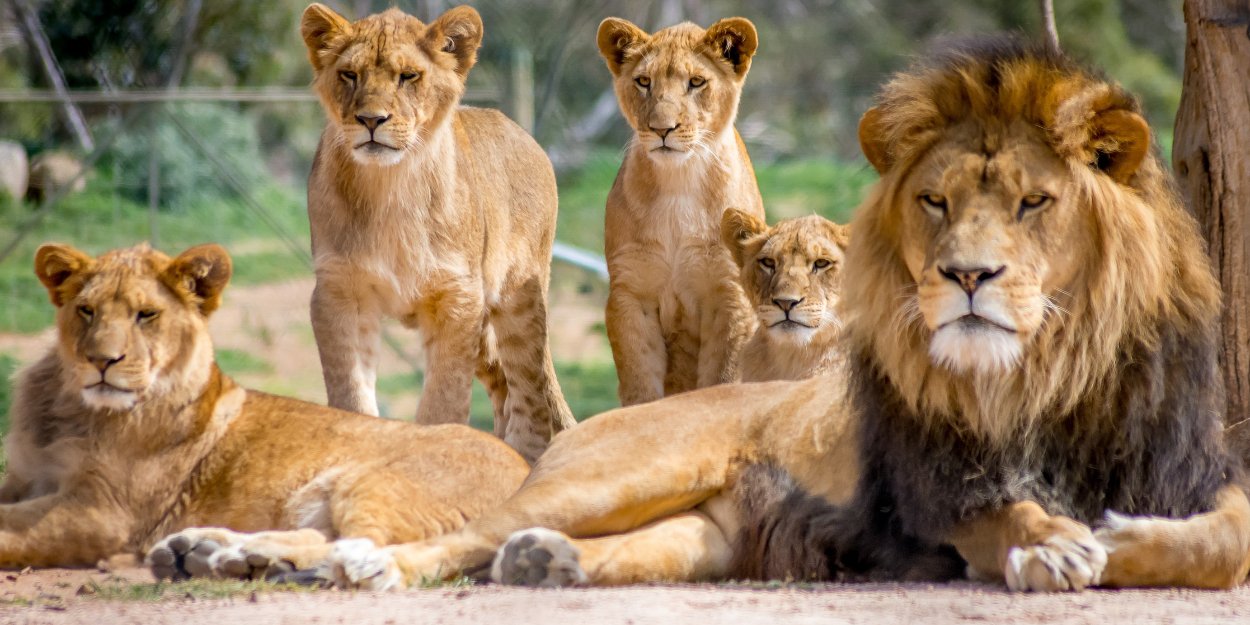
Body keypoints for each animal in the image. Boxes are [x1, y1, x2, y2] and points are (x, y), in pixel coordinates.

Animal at [0, 241, 527, 572]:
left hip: (374, 482)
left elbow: (10, 529)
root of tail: (526, 468)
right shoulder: (24, 478)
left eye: (145, 315)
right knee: (324, 537)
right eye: (86, 311)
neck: (72, 409)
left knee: (358, 544)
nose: (102, 361)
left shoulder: (103, 512)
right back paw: (211, 552)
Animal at [302, 2, 575, 462]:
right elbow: (351, 393)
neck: (389, 187)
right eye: (349, 75)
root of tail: (526, 135)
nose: (370, 120)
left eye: (408, 76)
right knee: (504, 388)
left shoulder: (458, 297)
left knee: (530, 391)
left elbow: (443, 401)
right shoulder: (339, 293)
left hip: (518, 297)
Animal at [600, 17, 765, 405]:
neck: (679, 182)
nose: (662, 129)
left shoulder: (730, 295)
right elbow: (640, 383)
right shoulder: (631, 294)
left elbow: (723, 379)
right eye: (644, 82)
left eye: (696, 82)